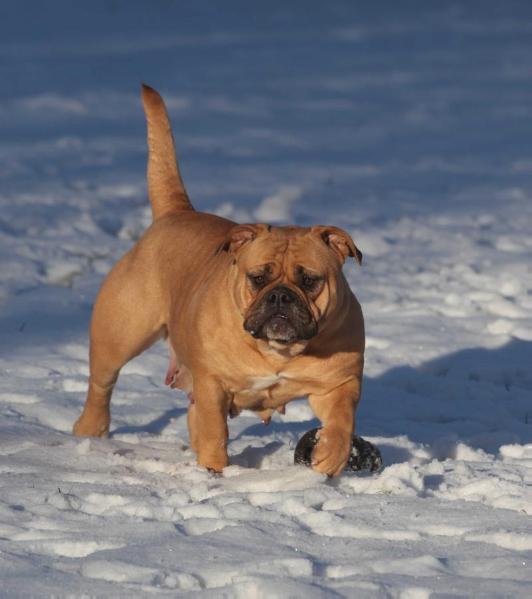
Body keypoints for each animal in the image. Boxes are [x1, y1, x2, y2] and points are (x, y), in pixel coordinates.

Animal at [74, 85, 366, 478]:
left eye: (309, 280)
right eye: (258, 278)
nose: (281, 298)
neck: (278, 352)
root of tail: (175, 212)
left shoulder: (337, 384)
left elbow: (341, 423)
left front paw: (328, 458)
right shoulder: (212, 384)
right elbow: (215, 431)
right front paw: (214, 471)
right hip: (119, 336)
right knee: (102, 386)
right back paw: (91, 432)